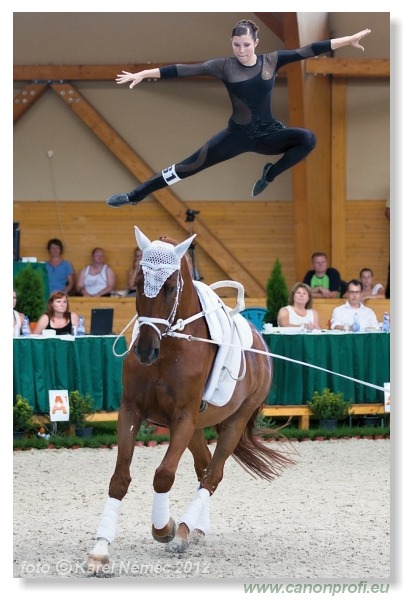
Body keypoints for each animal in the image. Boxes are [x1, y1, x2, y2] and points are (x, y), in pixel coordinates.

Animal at [87, 226, 294, 572]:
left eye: (170, 287)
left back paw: (182, 530)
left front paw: (164, 529)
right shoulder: (131, 411)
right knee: (203, 468)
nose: (145, 350)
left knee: (213, 474)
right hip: (198, 426)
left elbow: (163, 476)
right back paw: (194, 529)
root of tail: (259, 341)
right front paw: (100, 550)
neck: (170, 348)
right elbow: (119, 478)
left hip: (235, 420)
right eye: (136, 284)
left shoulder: (182, 417)